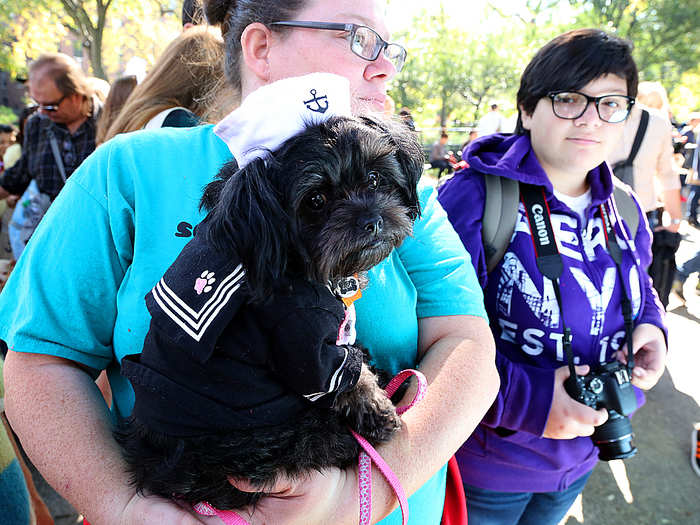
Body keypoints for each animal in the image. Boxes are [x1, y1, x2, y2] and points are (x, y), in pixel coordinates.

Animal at [116, 114, 422, 508]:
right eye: (316, 200)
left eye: (373, 179)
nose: (372, 220)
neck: (298, 261)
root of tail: (155, 468)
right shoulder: (302, 340)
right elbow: (346, 379)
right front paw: (378, 410)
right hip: (270, 438)